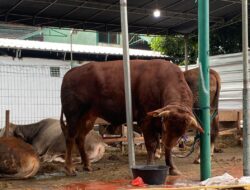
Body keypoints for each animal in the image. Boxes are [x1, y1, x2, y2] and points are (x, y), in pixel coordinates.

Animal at [60, 59, 203, 177]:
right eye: (166, 126)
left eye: (182, 132)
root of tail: (71, 72)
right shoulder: (146, 120)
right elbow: (152, 144)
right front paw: (151, 165)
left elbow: (165, 147)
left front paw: (172, 168)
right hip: (73, 115)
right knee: (70, 138)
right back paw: (69, 168)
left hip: (88, 117)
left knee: (80, 138)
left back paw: (87, 165)